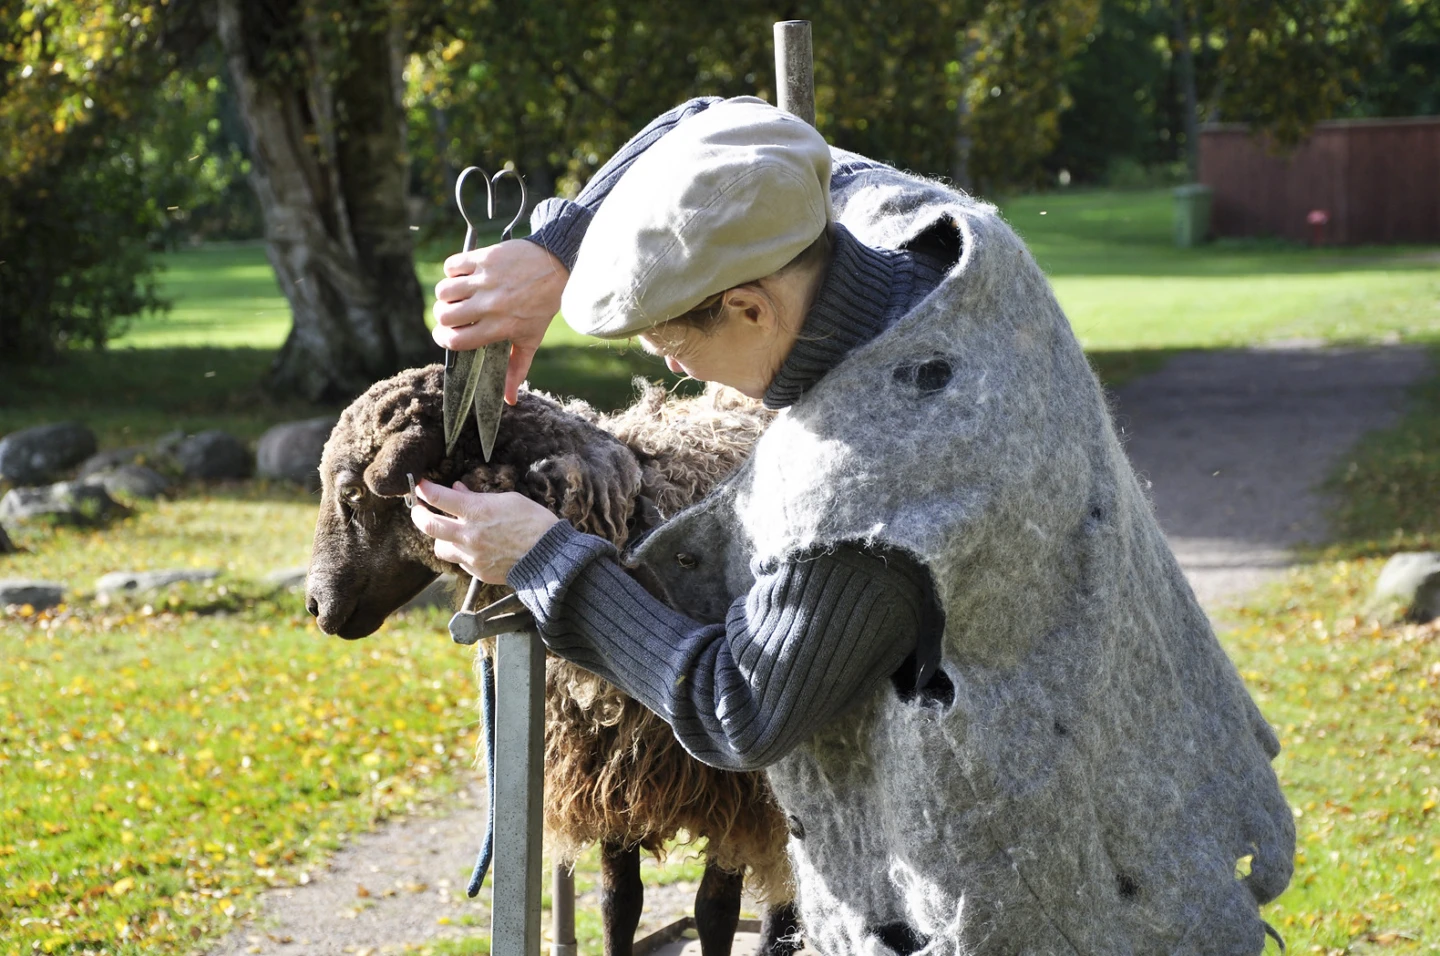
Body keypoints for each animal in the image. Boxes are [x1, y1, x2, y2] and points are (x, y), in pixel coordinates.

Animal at [306, 365, 800, 956]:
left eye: (351, 492)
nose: (314, 606)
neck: (626, 516)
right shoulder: (611, 783)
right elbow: (619, 903)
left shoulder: (736, 797)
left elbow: (715, 913)